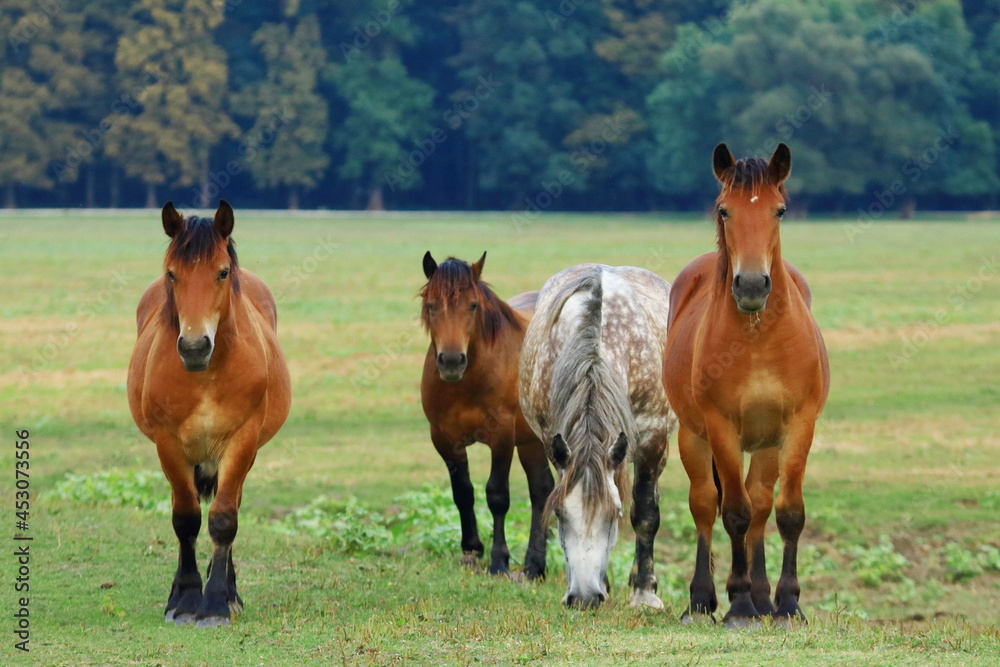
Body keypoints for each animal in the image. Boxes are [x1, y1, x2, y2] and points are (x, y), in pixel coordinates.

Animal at [127, 201, 292, 628]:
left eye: (222, 272)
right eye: (172, 273)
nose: (194, 346)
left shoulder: (241, 442)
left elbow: (223, 519)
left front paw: (217, 602)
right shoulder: (168, 444)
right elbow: (185, 518)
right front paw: (186, 599)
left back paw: (230, 594)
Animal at [416, 250, 556, 580]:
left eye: (473, 305)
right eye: (431, 305)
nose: (451, 361)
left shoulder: (501, 437)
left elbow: (497, 495)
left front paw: (498, 561)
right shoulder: (444, 438)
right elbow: (463, 492)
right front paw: (471, 550)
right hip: (531, 442)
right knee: (542, 491)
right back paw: (534, 566)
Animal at [520, 264, 676, 608]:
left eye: (615, 513)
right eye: (559, 513)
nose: (584, 597)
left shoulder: (653, 437)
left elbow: (646, 512)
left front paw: (644, 592)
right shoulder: (554, 440)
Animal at [664, 144, 828, 628]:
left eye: (780, 210)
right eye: (724, 210)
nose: (752, 285)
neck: (758, 340)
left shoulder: (798, 426)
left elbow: (787, 513)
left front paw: (788, 604)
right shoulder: (721, 428)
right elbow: (733, 513)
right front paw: (737, 605)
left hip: (767, 445)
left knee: (760, 505)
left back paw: (763, 600)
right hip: (693, 437)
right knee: (705, 505)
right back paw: (702, 601)